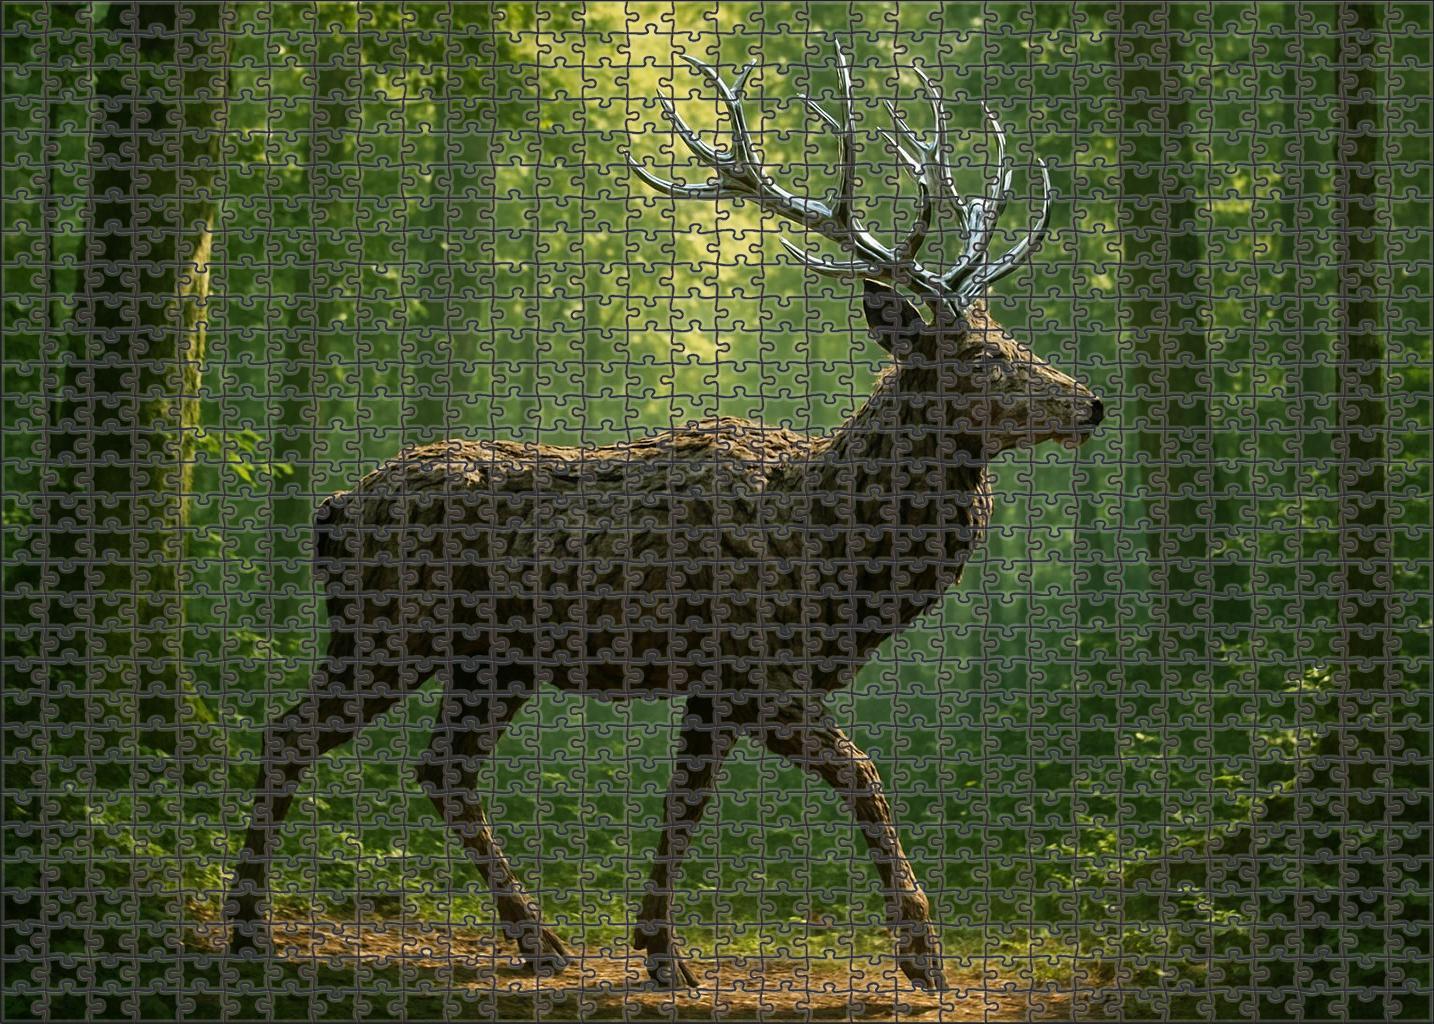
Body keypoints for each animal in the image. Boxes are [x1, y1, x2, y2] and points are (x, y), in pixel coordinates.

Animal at [226, 46, 1103, 993]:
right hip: (390, 631)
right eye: (978, 355)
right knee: (288, 737)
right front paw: (921, 954)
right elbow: (862, 775)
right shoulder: (756, 668)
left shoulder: (715, 687)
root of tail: (331, 512)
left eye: (1012, 340)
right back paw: (249, 929)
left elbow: (685, 803)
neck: (832, 544)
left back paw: (540, 940)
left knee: (441, 768)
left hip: (490, 662)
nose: (1088, 403)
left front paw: (658, 948)